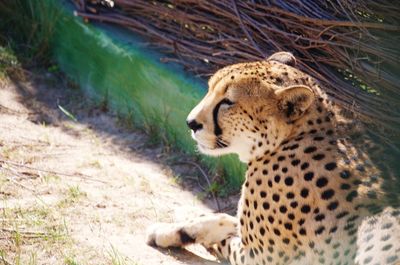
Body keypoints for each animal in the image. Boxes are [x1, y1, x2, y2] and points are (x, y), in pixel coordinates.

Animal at [147, 52, 400, 264]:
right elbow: (220, 218)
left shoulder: (260, 257)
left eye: (227, 102)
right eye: (210, 89)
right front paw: (169, 231)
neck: (293, 137)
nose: (190, 123)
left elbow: (224, 235)